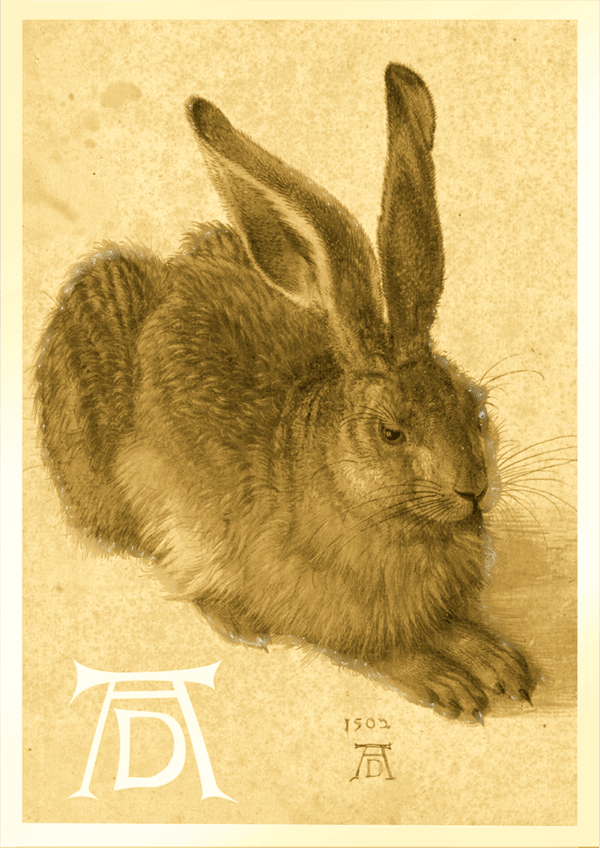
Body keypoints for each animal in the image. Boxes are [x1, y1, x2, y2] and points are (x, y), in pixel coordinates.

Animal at [35, 63, 535, 724]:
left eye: (477, 406)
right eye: (390, 432)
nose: (473, 489)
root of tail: (172, 274)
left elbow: (452, 627)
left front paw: (500, 660)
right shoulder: (309, 604)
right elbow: (376, 650)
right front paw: (447, 681)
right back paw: (232, 619)